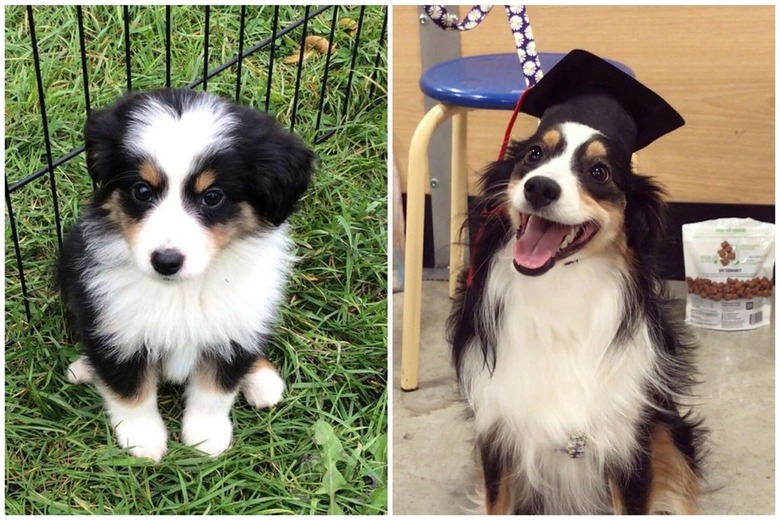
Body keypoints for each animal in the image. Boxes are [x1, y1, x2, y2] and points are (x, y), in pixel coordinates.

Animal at [58, 88, 314, 460]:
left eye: (213, 196)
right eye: (142, 191)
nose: (166, 261)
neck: (181, 289)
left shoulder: (233, 324)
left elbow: (216, 389)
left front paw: (206, 437)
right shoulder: (117, 326)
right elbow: (130, 390)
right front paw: (143, 440)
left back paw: (262, 380)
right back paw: (83, 368)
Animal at [448, 50, 704, 512]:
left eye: (599, 172)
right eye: (533, 155)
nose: (540, 188)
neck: (559, 291)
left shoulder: (630, 441)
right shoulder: (497, 433)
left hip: (670, 433)